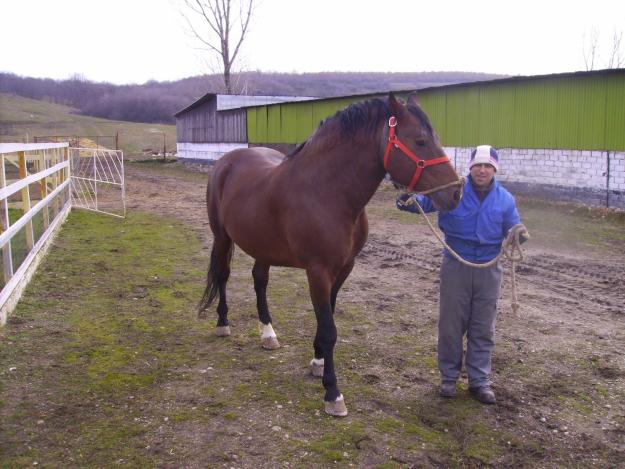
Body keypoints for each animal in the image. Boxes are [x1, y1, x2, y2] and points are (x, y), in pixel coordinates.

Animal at [202, 93, 460, 414]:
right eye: (420, 140)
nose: (456, 192)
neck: (327, 191)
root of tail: (226, 161)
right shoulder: (318, 271)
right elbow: (329, 328)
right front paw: (333, 392)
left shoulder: (344, 268)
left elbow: (327, 319)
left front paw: (317, 361)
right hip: (222, 237)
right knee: (223, 276)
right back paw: (223, 324)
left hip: (263, 247)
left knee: (259, 280)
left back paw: (268, 334)